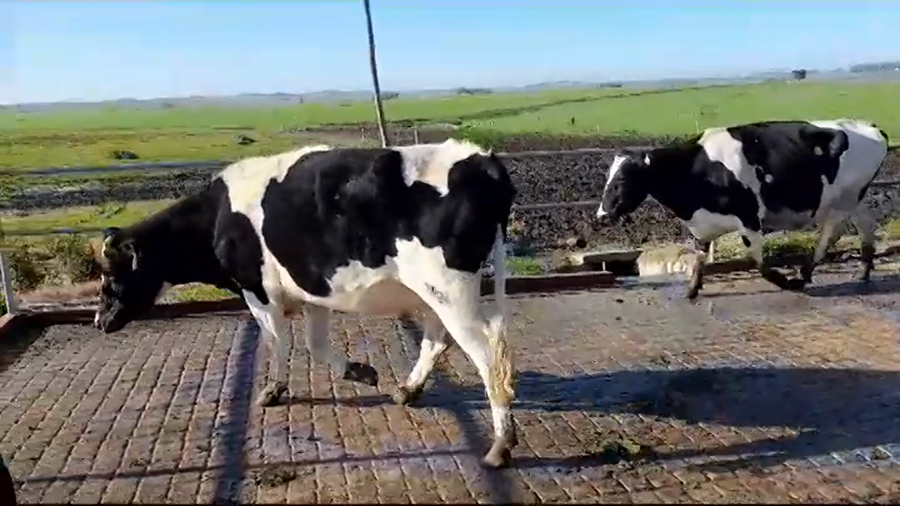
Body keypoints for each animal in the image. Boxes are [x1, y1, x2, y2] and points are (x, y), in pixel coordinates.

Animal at [92, 139, 519, 468]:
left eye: (111, 276)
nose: (99, 321)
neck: (217, 217)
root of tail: (481, 157)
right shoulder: (314, 288)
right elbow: (315, 344)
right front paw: (360, 371)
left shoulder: (258, 290)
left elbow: (276, 342)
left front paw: (273, 390)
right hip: (433, 291)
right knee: (437, 339)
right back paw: (407, 389)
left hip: (448, 287)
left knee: (489, 353)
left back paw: (501, 445)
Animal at [595, 119, 891, 298]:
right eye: (608, 176)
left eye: (622, 179)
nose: (602, 215)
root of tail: (869, 126)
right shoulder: (701, 226)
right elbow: (699, 260)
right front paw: (691, 292)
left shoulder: (750, 218)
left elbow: (758, 263)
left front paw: (785, 282)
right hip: (855, 198)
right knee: (866, 225)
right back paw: (863, 271)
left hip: (844, 198)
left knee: (830, 233)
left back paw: (805, 274)